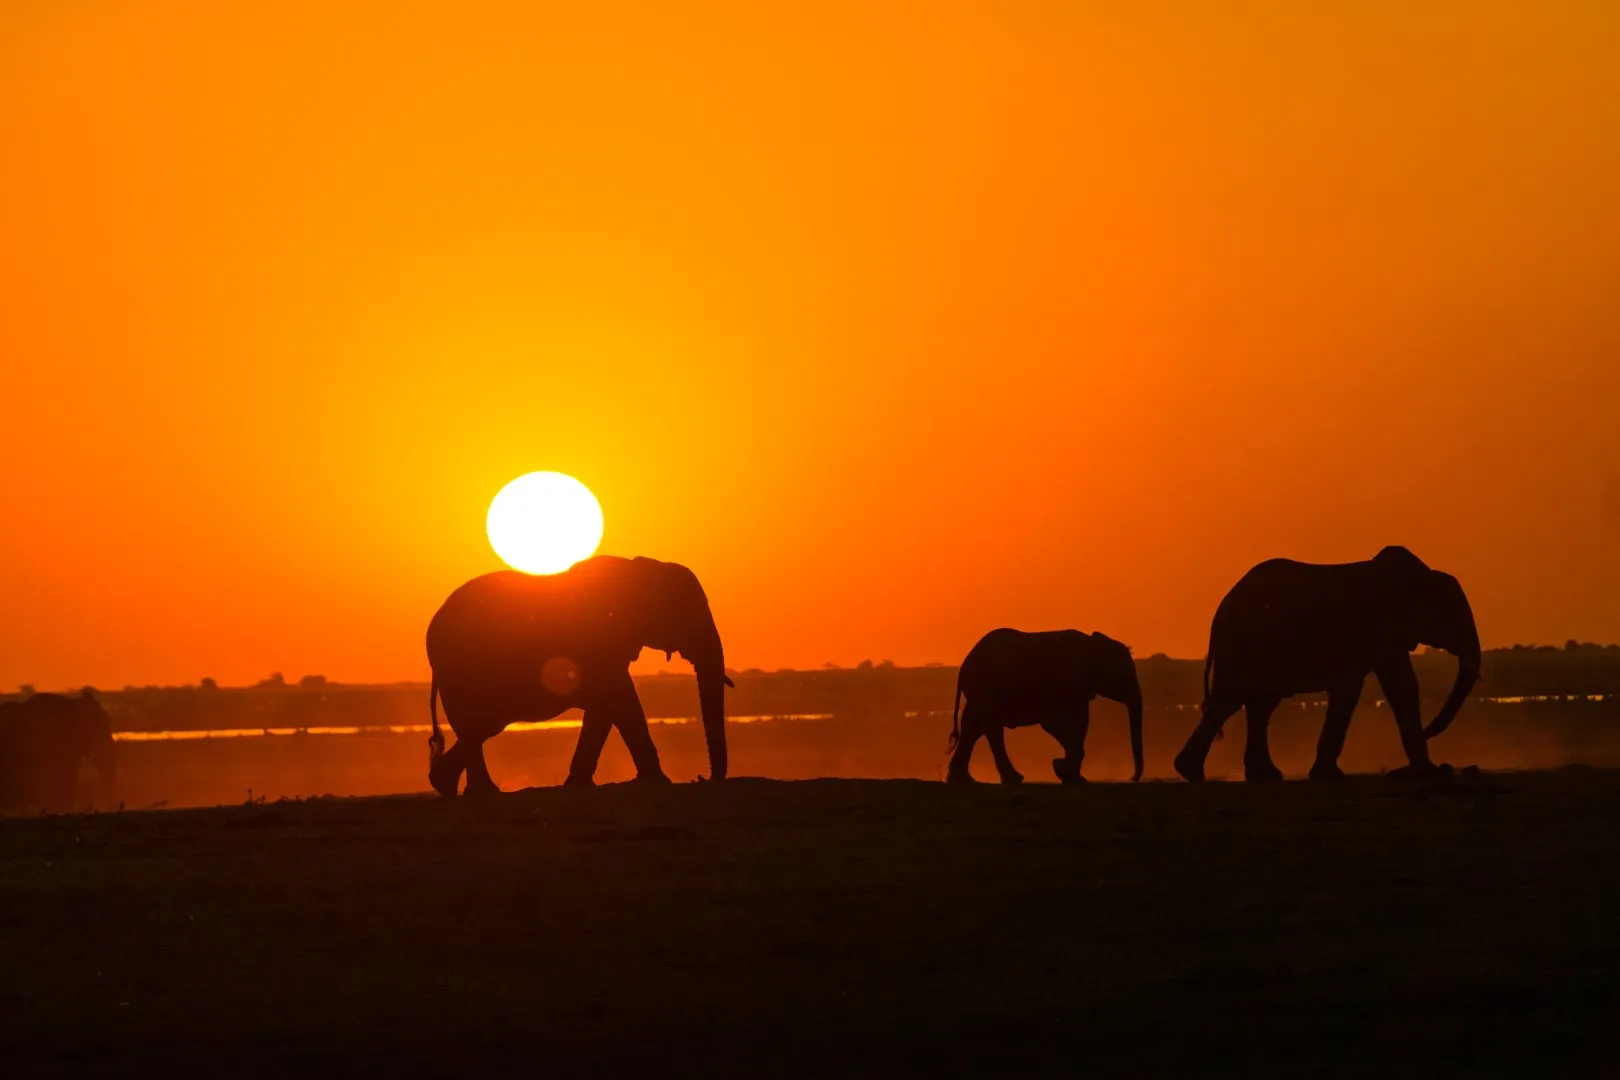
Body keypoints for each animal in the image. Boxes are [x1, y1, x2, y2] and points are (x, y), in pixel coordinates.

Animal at [425, 555, 732, 796]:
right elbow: (621, 699)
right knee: (479, 725)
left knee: (483, 726)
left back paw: (449, 785)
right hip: (460, 672)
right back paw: (478, 791)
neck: (639, 570)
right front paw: (659, 782)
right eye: (685, 614)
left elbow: (605, 708)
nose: (701, 778)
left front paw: (578, 785)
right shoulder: (595, 643)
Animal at [946, 629, 1144, 785]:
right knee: (991, 729)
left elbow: (1080, 722)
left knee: (974, 727)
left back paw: (963, 780)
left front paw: (1071, 775)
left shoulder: (1080, 688)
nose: (1131, 779)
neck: (1092, 644)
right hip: (985, 688)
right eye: (1124, 675)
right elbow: (1054, 723)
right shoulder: (1063, 682)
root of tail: (964, 666)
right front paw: (1062, 770)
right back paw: (1013, 779)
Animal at [1173, 546, 1481, 783]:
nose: (1430, 733)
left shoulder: (1389, 635)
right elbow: (1350, 691)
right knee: (1231, 700)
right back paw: (1192, 773)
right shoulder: (1367, 629)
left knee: (1260, 705)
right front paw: (1329, 776)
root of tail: (1220, 611)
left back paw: (1262, 775)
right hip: (1242, 644)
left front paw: (1428, 771)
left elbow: (1402, 687)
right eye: (1452, 617)